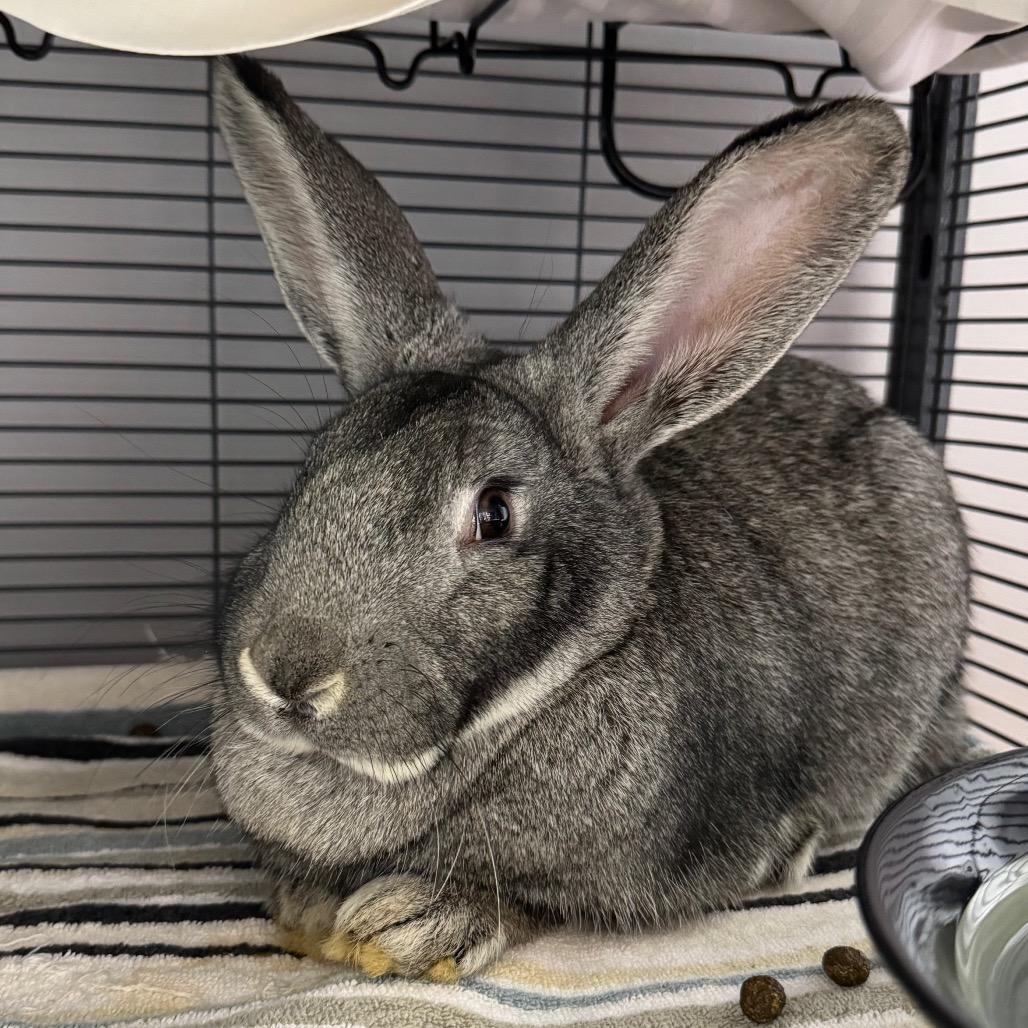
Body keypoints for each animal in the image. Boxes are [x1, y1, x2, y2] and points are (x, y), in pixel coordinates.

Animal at [211, 54, 970, 982]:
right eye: (310, 469)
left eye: (494, 514)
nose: (284, 674)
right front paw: (308, 905)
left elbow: (532, 901)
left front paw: (410, 922)